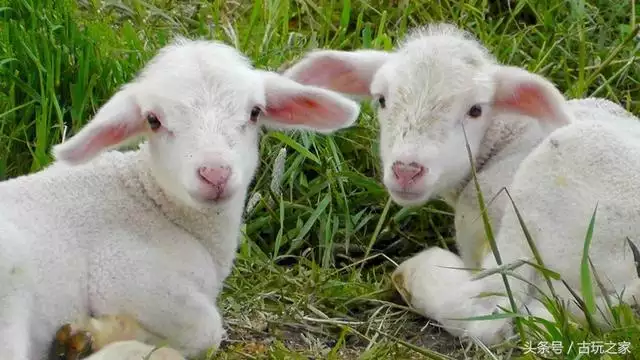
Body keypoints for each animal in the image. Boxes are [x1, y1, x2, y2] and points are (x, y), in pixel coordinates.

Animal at [0, 35, 360, 358]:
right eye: (153, 120)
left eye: (255, 112)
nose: (215, 173)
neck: (151, 198)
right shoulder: (125, 275)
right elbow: (206, 330)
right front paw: (100, 336)